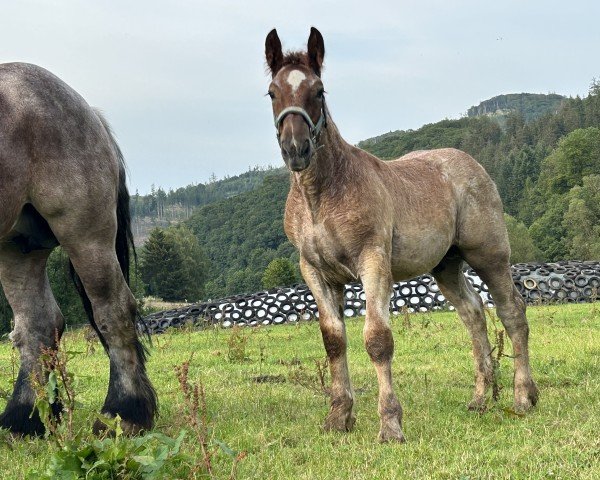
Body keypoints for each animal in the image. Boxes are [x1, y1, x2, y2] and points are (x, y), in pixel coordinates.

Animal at [0, 62, 157, 436]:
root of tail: (88, 111)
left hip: (86, 235)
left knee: (113, 311)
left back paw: (123, 411)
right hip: (17, 247)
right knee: (37, 325)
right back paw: (23, 418)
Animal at [264, 27, 536, 442]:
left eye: (320, 90)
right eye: (272, 92)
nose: (296, 149)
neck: (321, 195)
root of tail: (470, 162)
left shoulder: (373, 263)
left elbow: (378, 340)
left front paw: (390, 424)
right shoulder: (316, 272)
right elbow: (333, 340)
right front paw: (338, 416)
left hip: (489, 255)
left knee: (512, 311)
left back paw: (523, 397)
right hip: (446, 266)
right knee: (472, 313)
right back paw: (480, 397)